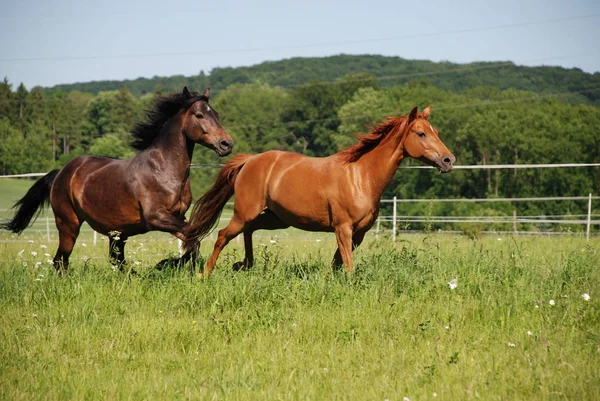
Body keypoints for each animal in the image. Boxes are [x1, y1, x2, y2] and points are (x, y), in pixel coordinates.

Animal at [1, 86, 232, 270]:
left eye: (217, 114)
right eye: (199, 115)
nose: (226, 144)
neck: (163, 170)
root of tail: (61, 173)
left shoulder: (177, 217)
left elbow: (193, 243)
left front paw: (166, 264)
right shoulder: (156, 218)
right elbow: (192, 239)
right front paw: (162, 264)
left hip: (117, 232)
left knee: (115, 260)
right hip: (69, 224)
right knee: (61, 260)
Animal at [183, 104, 454, 276]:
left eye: (436, 132)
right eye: (421, 133)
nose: (448, 160)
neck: (361, 176)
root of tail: (250, 160)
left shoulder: (358, 234)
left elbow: (337, 263)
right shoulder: (343, 228)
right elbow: (348, 266)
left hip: (276, 218)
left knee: (249, 231)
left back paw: (246, 265)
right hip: (244, 213)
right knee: (223, 235)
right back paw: (205, 275)